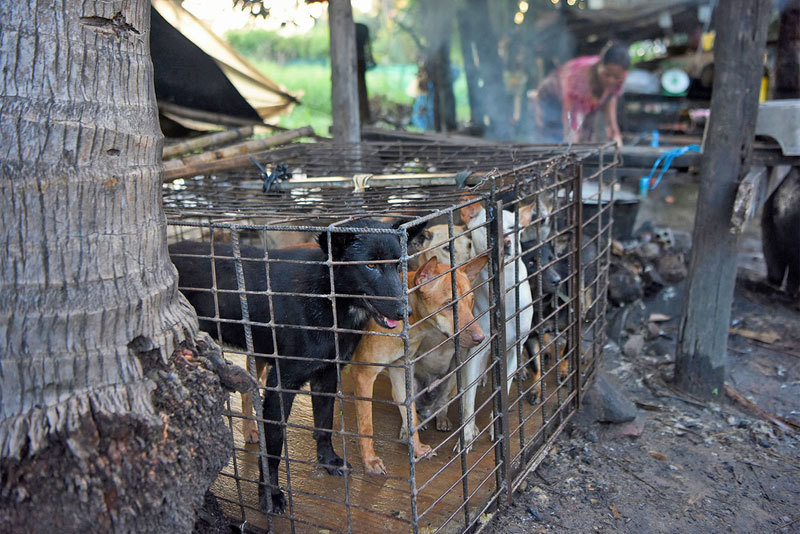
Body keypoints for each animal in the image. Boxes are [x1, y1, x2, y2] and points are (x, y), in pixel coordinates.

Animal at [166, 219, 422, 516]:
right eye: (371, 265)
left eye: (398, 265)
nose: (406, 313)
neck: (326, 297)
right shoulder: (282, 384)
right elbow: (274, 445)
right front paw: (270, 495)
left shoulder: (326, 376)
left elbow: (324, 424)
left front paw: (328, 460)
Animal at [352, 256, 488, 478]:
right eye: (449, 304)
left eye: (472, 301)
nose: (480, 338)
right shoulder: (364, 374)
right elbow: (366, 426)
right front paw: (369, 462)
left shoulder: (400, 370)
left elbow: (411, 417)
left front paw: (416, 449)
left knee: (438, 404)